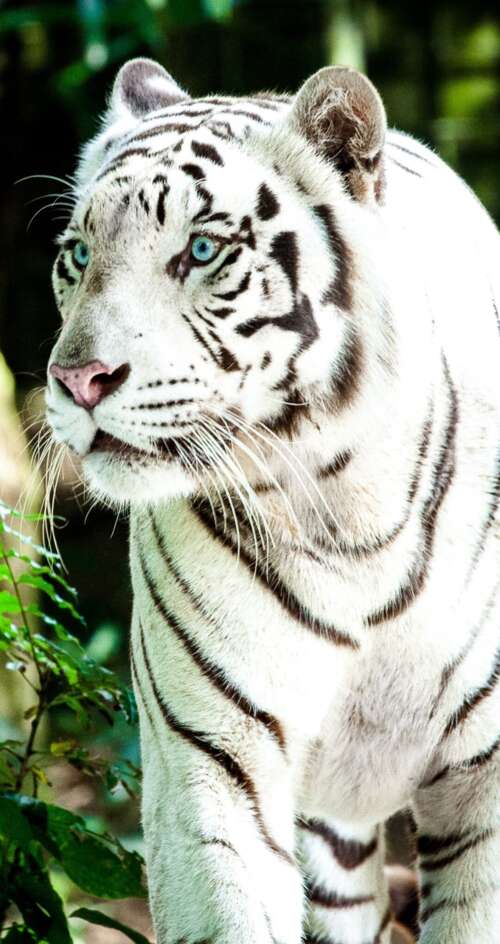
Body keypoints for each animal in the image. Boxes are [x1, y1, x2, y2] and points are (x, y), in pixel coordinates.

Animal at [44, 57, 500, 944]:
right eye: (77, 255)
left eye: (202, 249)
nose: (77, 381)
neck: (347, 507)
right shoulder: (211, 763)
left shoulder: (485, 779)